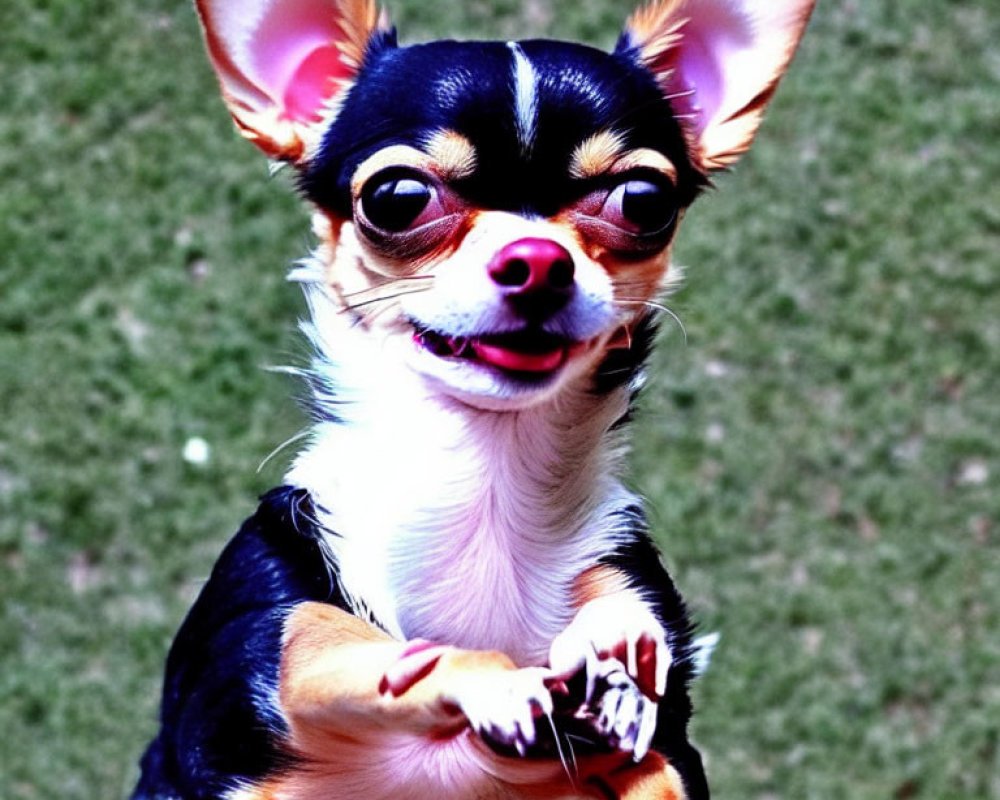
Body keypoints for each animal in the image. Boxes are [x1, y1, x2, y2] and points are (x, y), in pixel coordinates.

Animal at [131, 1, 812, 800]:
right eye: (396, 198)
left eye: (644, 201)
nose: (538, 261)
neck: (484, 480)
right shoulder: (266, 652)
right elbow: (371, 652)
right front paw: (487, 678)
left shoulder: (660, 724)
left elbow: (642, 694)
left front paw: (615, 649)